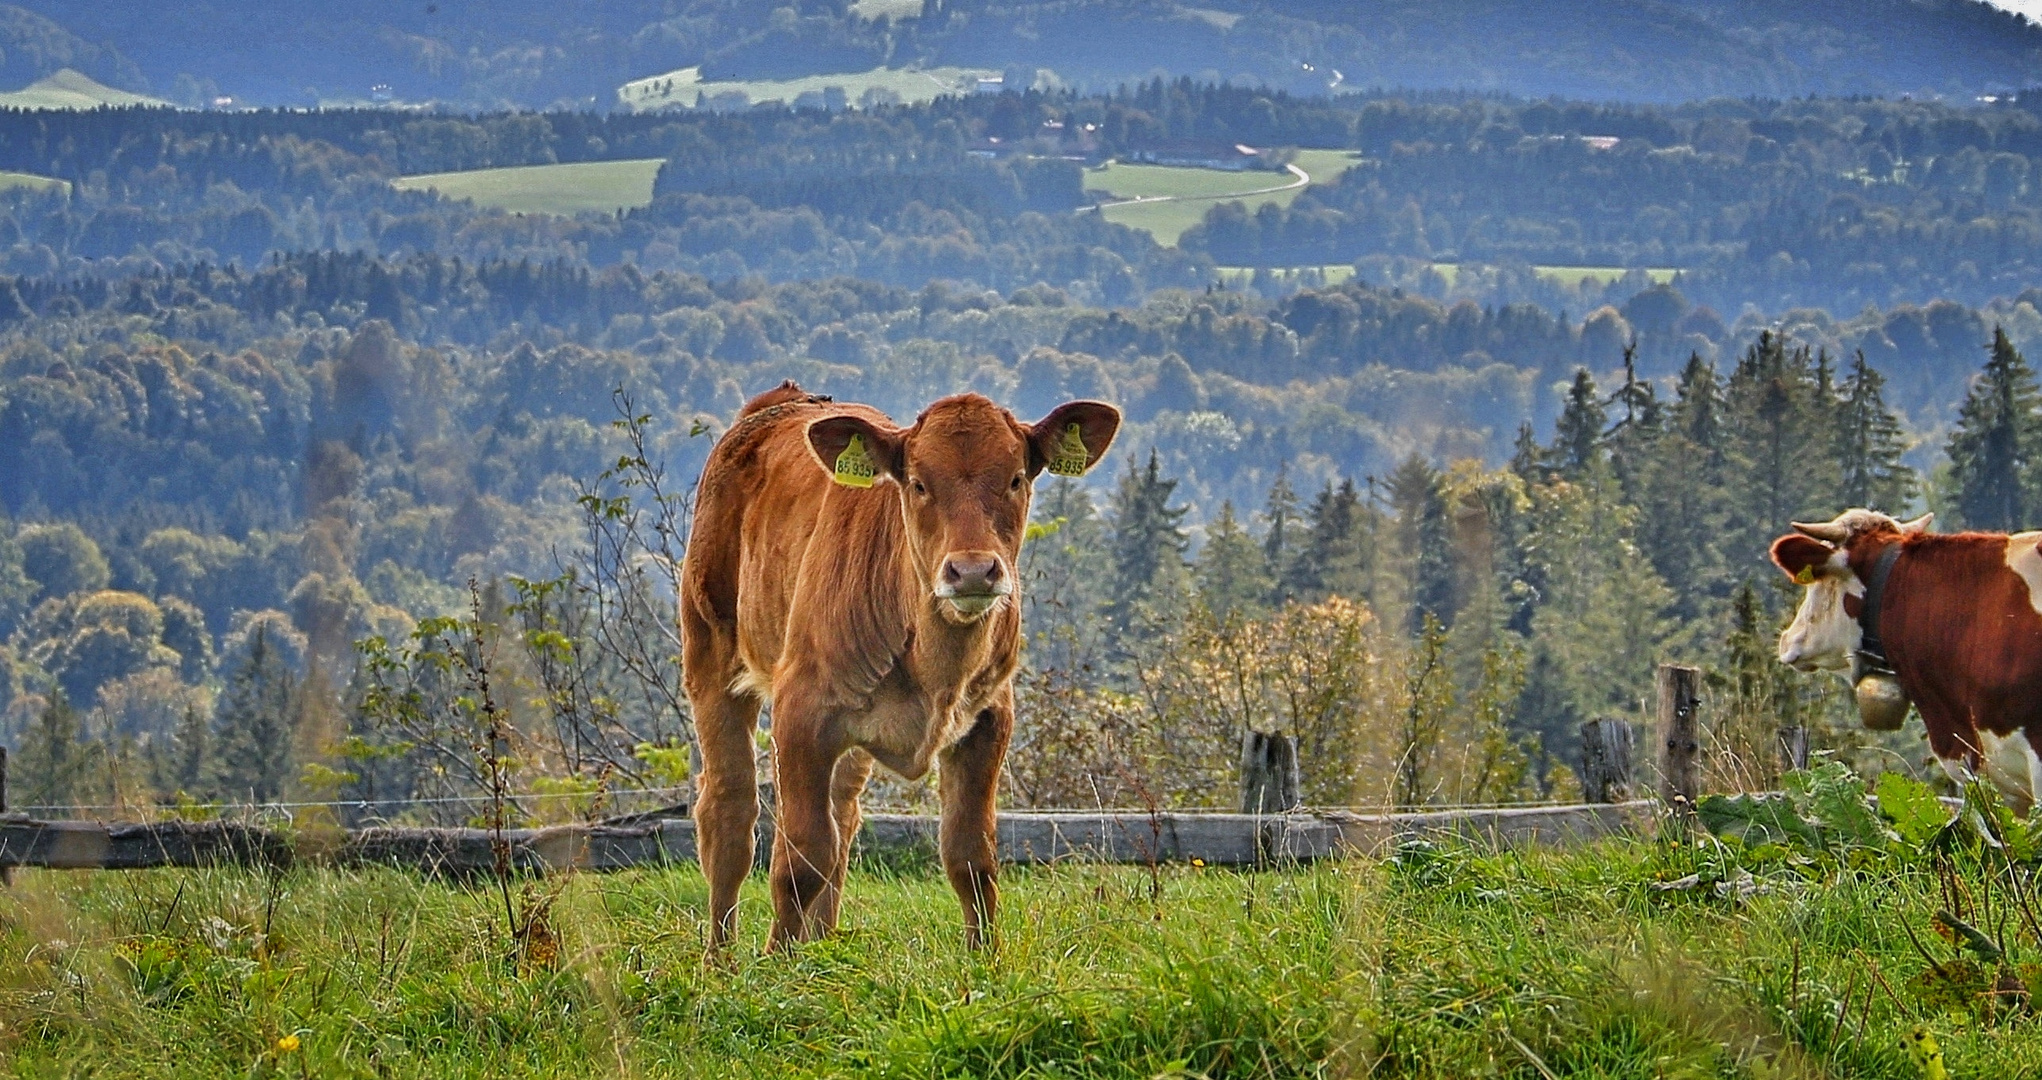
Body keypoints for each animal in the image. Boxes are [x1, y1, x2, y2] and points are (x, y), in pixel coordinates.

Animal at [677, 377, 1119, 943]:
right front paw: (778, 959)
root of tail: (783, 400)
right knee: (728, 815)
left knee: (842, 816)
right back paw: (723, 956)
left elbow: (971, 857)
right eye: (918, 483)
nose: (971, 571)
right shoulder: (799, 711)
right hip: (709, 654)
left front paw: (986, 958)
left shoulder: (989, 718)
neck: (934, 668)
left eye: (1017, 478)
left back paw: (823, 943)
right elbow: (799, 859)